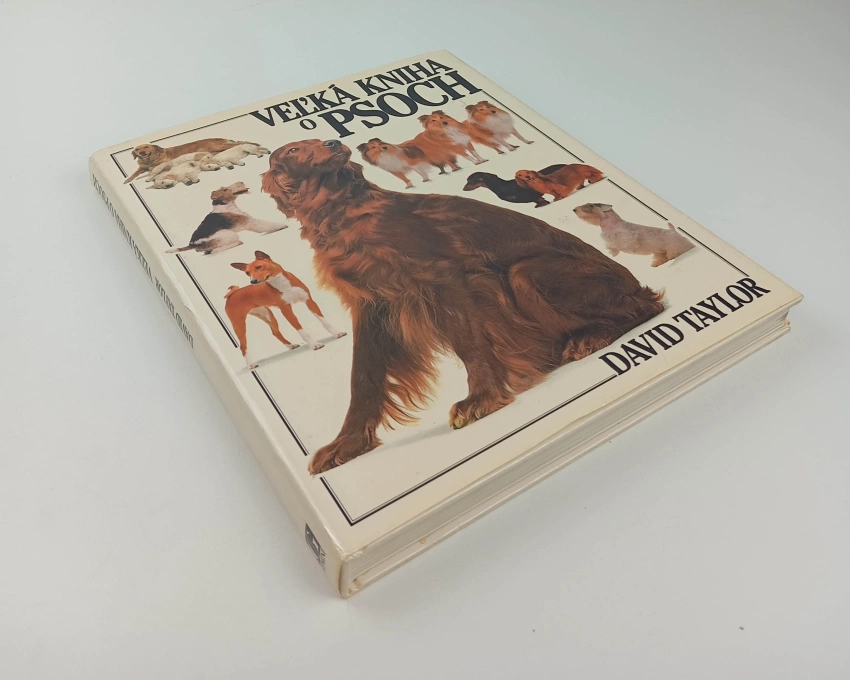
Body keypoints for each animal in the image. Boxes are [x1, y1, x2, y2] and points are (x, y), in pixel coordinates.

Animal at [261, 139, 665, 474]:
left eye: (317, 143)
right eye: (294, 149)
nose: (335, 142)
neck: (342, 211)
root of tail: (633, 280)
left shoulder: (445, 277)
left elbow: (471, 344)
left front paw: (482, 398)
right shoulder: (373, 306)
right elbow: (362, 378)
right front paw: (347, 445)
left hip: (525, 274)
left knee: (644, 306)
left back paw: (589, 339)